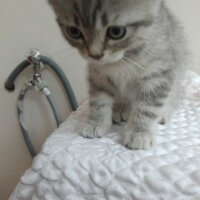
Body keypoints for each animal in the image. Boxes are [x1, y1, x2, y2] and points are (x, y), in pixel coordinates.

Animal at [48, 0, 188, 149]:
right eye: (74, 31)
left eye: (116, 32)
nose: (95, 55)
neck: (122, 58)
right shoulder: (97, 76)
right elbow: (98, 100)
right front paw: (96, 122)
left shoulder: (158, 74)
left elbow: (147, 107)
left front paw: (140, 133)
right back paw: (121, 108)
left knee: (175, 94)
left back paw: (164, 112)